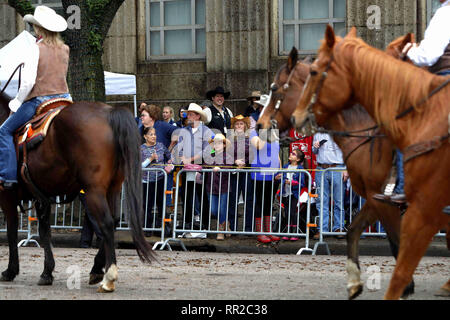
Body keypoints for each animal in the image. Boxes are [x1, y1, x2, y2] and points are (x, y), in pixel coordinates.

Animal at [0, 91, 155, 292]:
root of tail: (110, 112)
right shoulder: (42, 197)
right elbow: (44, 232)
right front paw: (47, 272)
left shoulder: (7, 197)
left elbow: (11, 232)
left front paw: (10, 271)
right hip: (112, 188)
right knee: (113, 221)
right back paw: (96, 269)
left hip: (94, 190)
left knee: (106, 223)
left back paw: (109, 277)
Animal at [255, 35, 416, 300]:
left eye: (275, 88)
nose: (260, 125)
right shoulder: (375, 198)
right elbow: (354, 230)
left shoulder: (385, 202)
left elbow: (396, 240)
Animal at [292, 25, 450, 300]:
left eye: (314, 71)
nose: (296, 117)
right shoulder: (375, 197)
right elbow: (356, 229)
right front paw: (355, 282)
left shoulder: (416, 209)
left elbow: (399, 255)